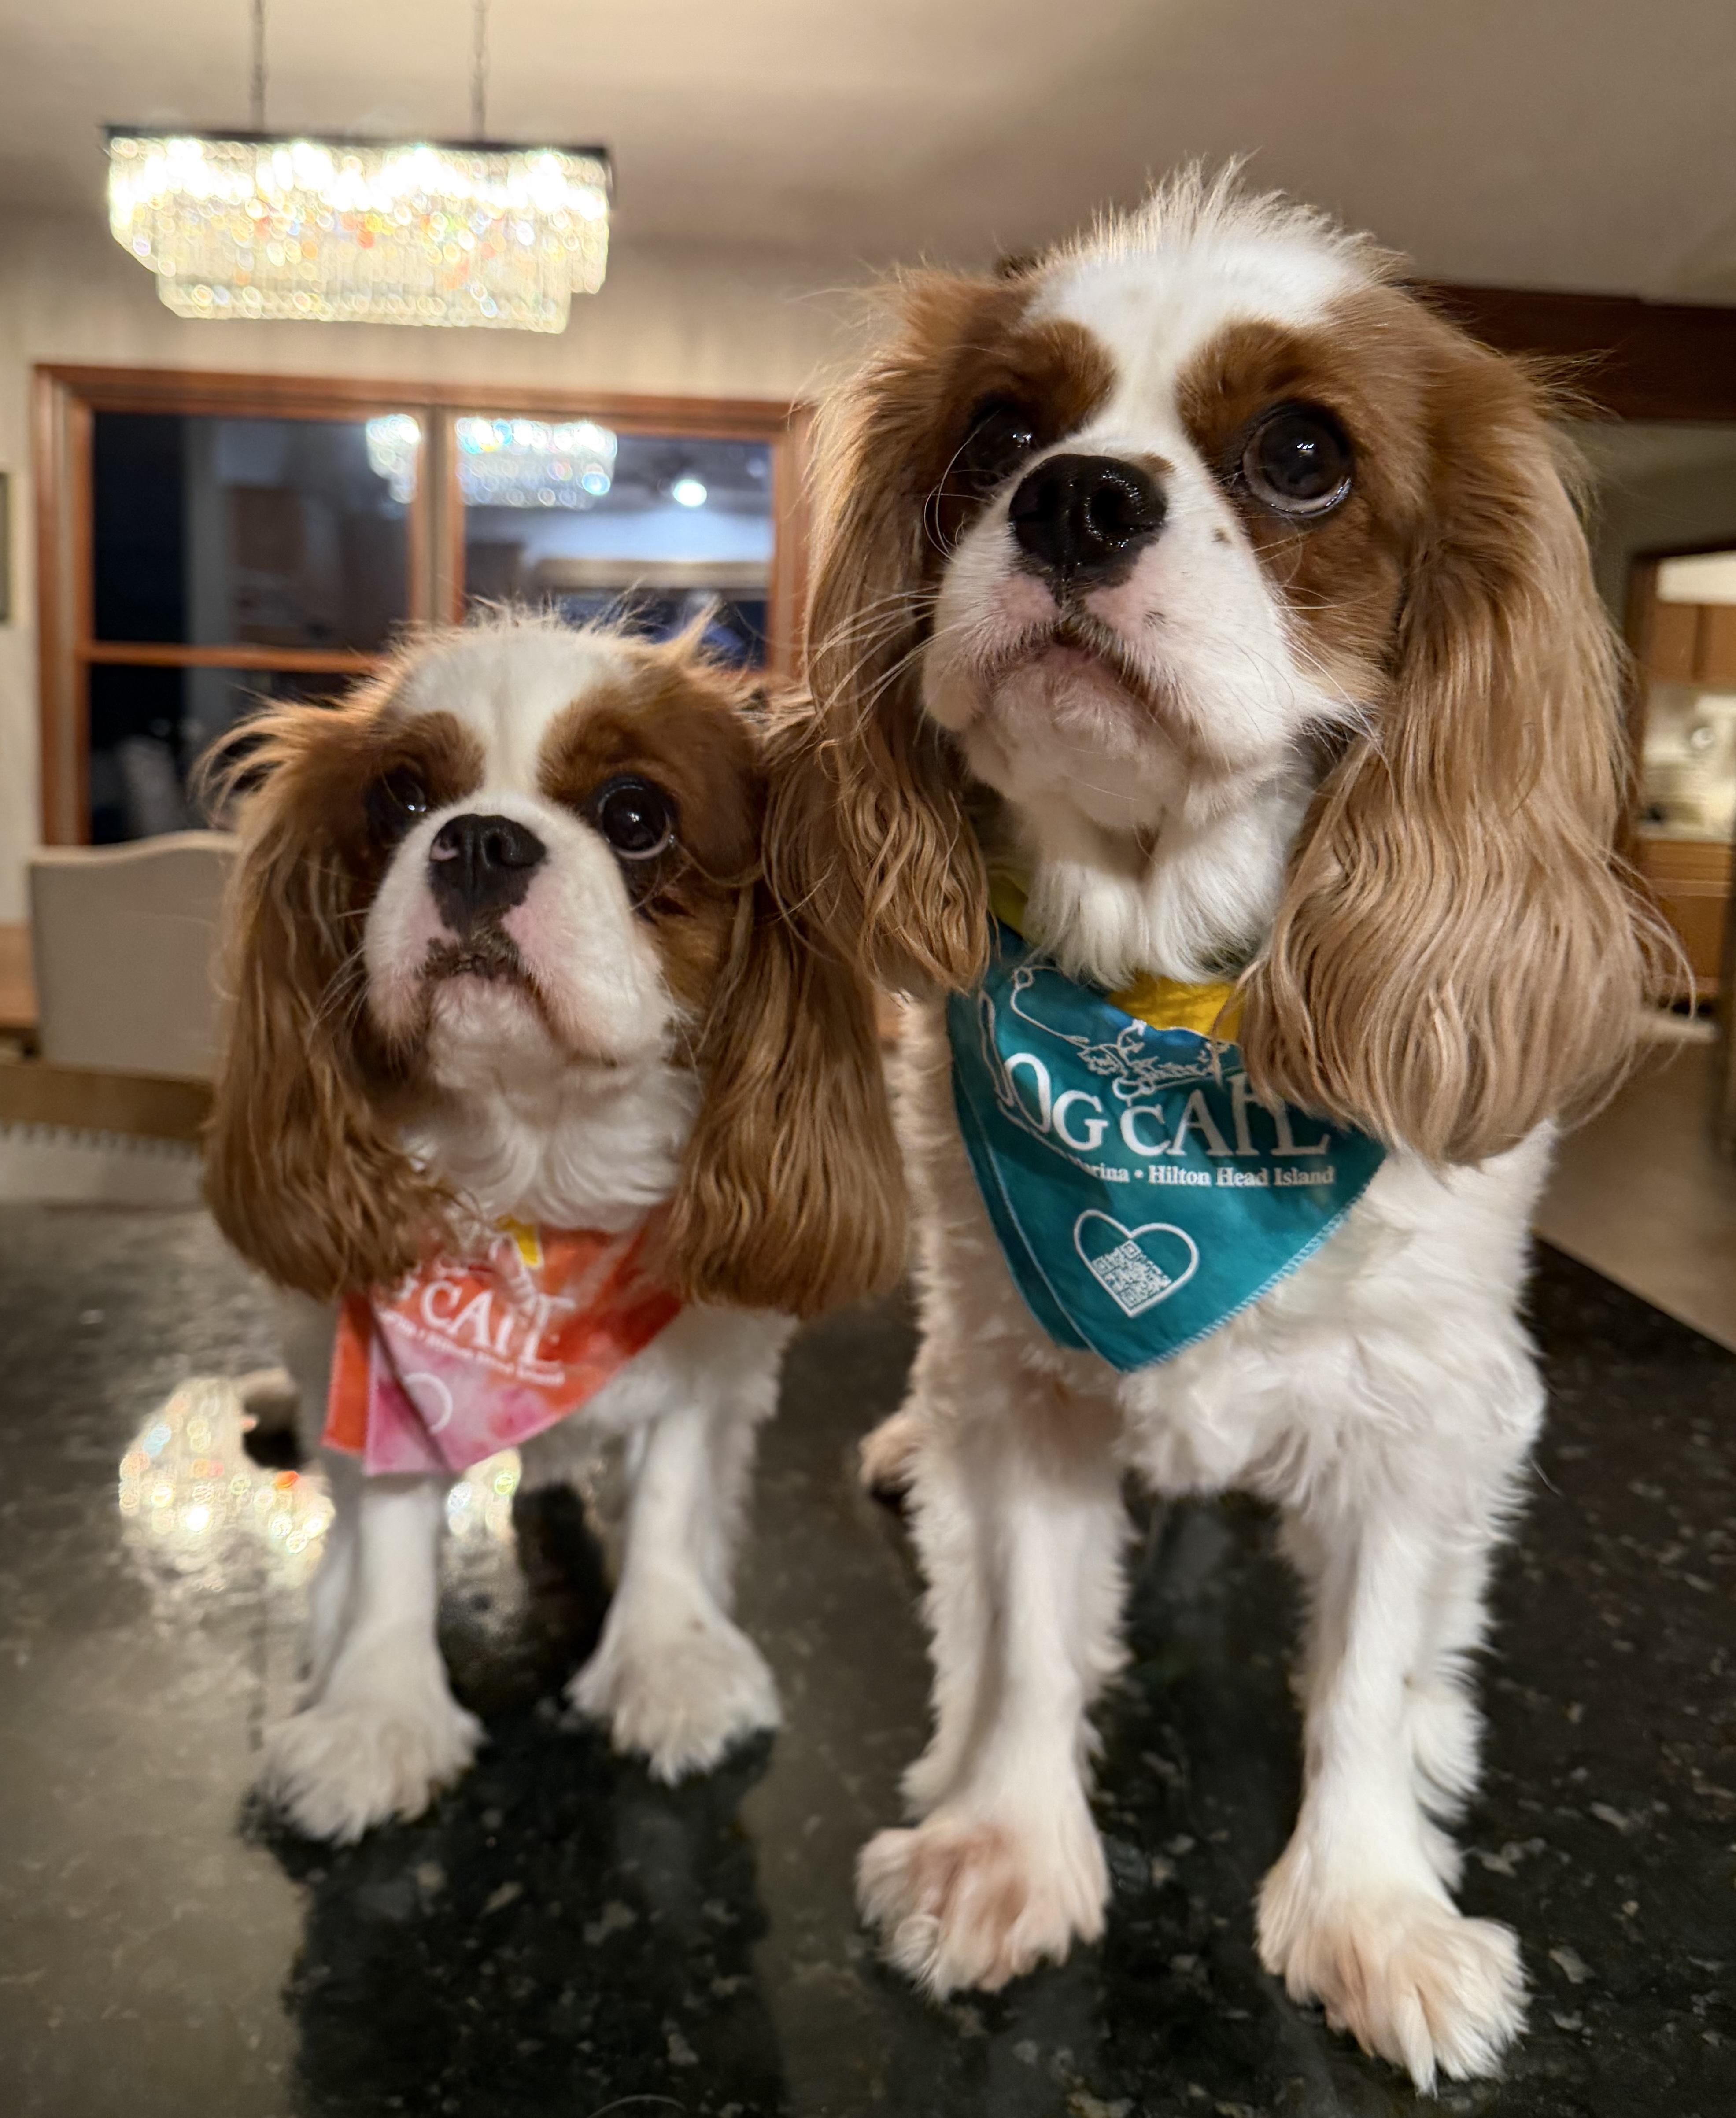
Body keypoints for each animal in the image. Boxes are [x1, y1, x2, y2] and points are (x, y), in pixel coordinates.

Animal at [205, 616, 901, 1844]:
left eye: (635, 815)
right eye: (398, 796)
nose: (480, 840)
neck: (540, 1190)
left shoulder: (707, 1363)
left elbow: (672, 1496)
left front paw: (668, 1661)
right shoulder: (383, 1376)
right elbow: (387, 1536)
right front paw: (377, 1712)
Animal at [775, 172, 1661, 2086]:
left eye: (1303, 455)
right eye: (999, 434)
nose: (1077, 495)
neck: (1154, 1001)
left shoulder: (1418, 1411)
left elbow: (1364, 1670)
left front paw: (1369, 1908)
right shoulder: (1020, 1379)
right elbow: (1028, 1634)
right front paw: (1001, 1844)